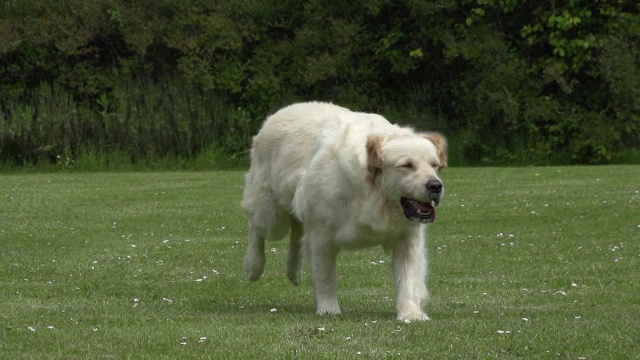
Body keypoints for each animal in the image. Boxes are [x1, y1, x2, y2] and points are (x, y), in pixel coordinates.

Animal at [242, 102, 448, 320]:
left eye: (435, 165)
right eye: (407, 165)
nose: (435, 186)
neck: (372, 195)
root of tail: (278, 113)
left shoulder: (407, 237)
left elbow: (408, 277)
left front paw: (410, 312)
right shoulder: (322, 235)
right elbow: (324, 277)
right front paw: (328, 309)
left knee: (296, 227)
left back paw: (293, 271)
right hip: (272, 215)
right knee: (257, 228)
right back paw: (253, 266)